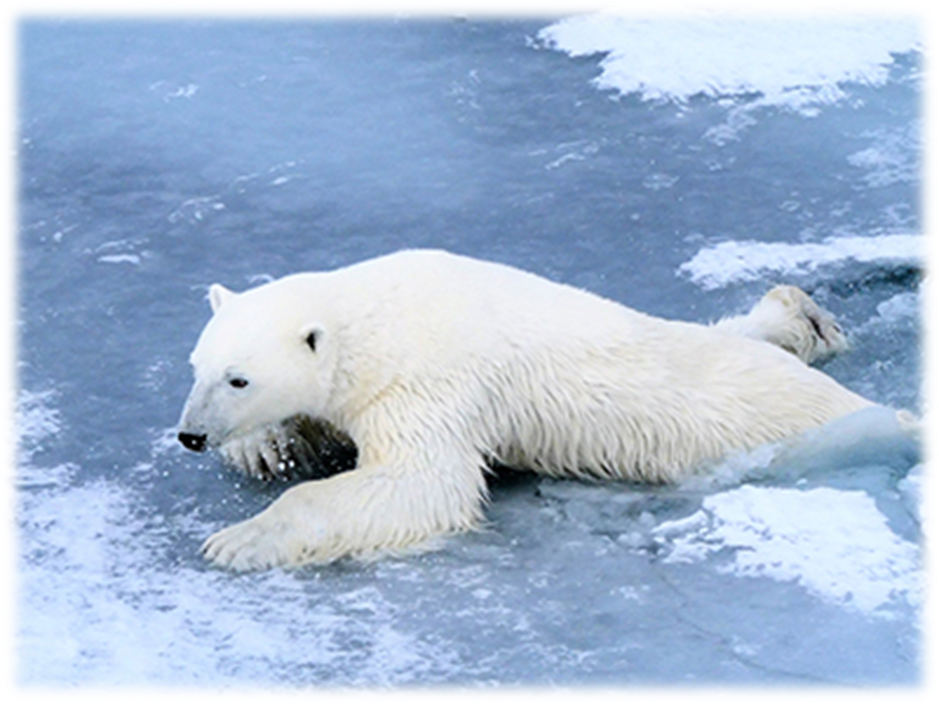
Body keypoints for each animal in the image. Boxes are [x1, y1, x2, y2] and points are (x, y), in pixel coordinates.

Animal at [177, 249, 873, 571]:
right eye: (196, 366)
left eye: (239, 379)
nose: (190, 434)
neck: (374, 313)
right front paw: (267, 447)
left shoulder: (428, 382)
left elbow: (424, 483)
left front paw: (239, 539)